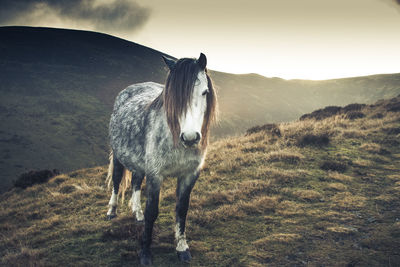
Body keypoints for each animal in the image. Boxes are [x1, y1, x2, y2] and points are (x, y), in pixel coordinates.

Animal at [104, 52, 217, 266]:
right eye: (172, 96)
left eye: (205, 92)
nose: (190, 137)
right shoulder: (155, 175)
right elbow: (152, 212)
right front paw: (145, 253)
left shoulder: (190, 175)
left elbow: (181, 209)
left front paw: (182, 248)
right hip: (119, 157)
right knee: (116, 181)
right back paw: (111, 211)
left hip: (139, 164)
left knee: (136, 183)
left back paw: (137, 212)